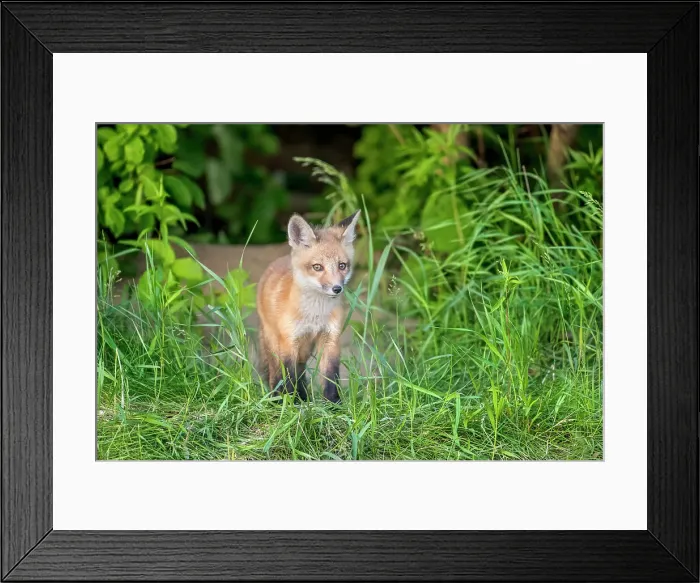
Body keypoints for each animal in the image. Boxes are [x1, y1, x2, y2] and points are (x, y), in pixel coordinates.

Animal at [256, 209, 361, 403]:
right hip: (275, 343)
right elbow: (288, 377)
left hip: (305, 349)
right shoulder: (289, 342)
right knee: (276, 374)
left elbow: (330, 376)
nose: (337, 288)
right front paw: (291, 403)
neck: (315, 315)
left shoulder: (330, 338)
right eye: (317, 267)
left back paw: (304, 397)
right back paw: (277, 399)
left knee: (301, 372)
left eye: (342, 265)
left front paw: (333, 404)